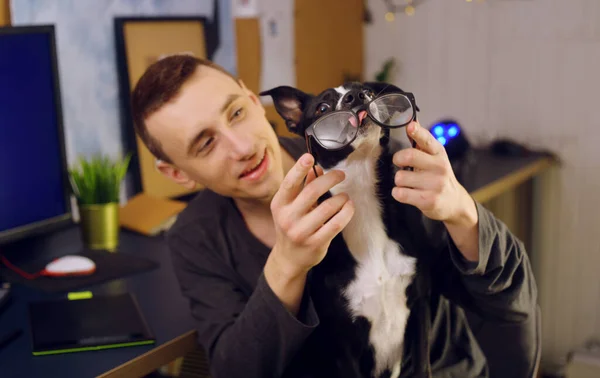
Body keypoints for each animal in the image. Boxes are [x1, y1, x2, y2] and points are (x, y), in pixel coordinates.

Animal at [260, 82, 448, 378]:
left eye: (368, 92)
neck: (362, 194)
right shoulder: (343, 343)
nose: (355, 97)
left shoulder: (419, 307)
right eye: (322, 108)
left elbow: (422, 367)